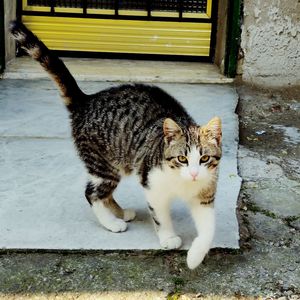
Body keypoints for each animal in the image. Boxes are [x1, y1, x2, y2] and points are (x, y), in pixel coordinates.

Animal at [9, 21, 223, 270]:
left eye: (204, 158)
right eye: (182, 158)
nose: (194, 173)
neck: (183, 184)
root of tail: (86, 101)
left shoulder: (205, 195)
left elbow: (209, 228)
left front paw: (195, 256)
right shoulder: (153, 186)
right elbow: (161, 216)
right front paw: (168, 237)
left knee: (103, 193)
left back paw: (121, 213)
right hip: (104, 164)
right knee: (91, 193)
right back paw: (111, 223)